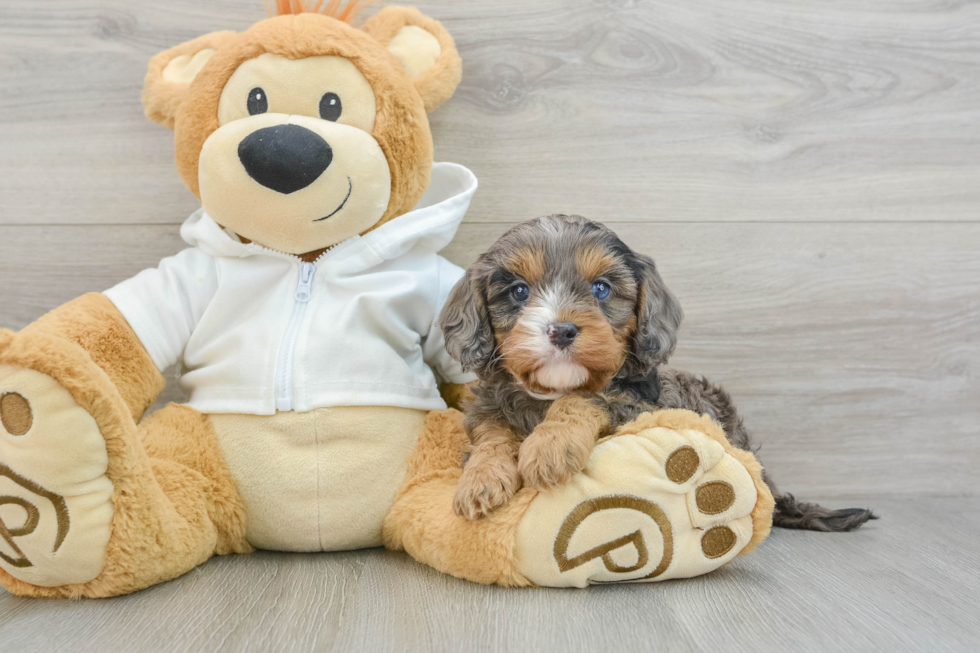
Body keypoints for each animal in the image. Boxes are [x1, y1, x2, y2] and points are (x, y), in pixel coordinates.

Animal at [440, 214, 876, 528]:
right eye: (518, 291)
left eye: (601, 289)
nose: (561, 330)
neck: (549, 390)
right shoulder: (486, 408)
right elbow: (491, 436)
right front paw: (480, 482)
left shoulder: (639, 406)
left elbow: (587, 398)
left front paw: (550, 447)